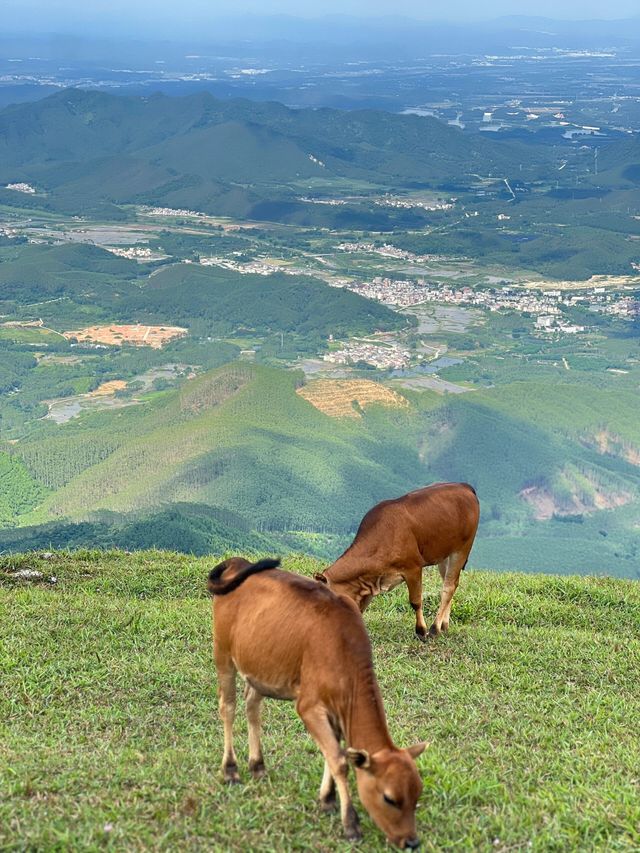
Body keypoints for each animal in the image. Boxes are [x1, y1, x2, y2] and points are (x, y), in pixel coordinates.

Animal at [208, 556, 424, 848]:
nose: (412, 842)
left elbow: (333, 754)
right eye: (389, 798)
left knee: (252, 707)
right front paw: (350, 823)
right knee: (228, 707)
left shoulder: (335, 711)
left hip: (260, 667)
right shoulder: (309, 707)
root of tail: (238, 562)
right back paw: (231, 769)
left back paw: (258, 765)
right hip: (223, 654)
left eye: (417, 796)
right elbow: (339, 761)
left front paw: (328, 799)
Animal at [312, 482, 478, 636]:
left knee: (448, 587)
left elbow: (416, 601)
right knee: (449, 583)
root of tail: (464, 485)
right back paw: (444, 625)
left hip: (462, 549)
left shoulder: (413, 567)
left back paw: (435, 629)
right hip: (444, 553)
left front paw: (421, 631)